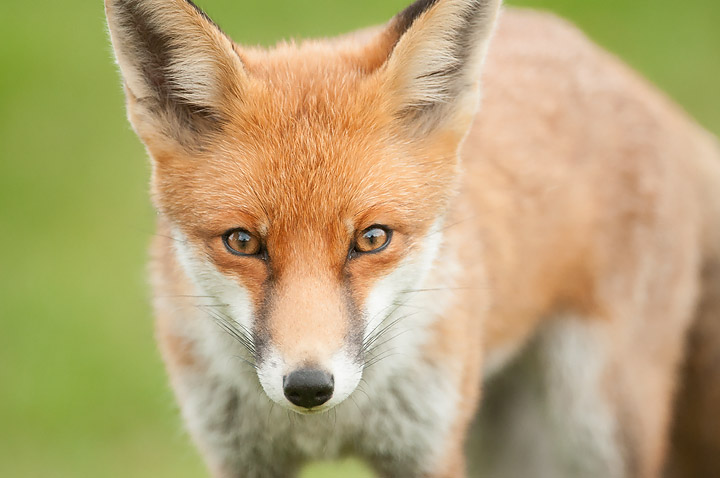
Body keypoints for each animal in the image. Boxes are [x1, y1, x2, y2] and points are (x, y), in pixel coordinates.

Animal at [105, 0, 720, 477]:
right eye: (241, 242)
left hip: (596, 422)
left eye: (373, 238)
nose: (309, 386)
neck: (328, 428)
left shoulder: (428, 448)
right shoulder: (241, 457)